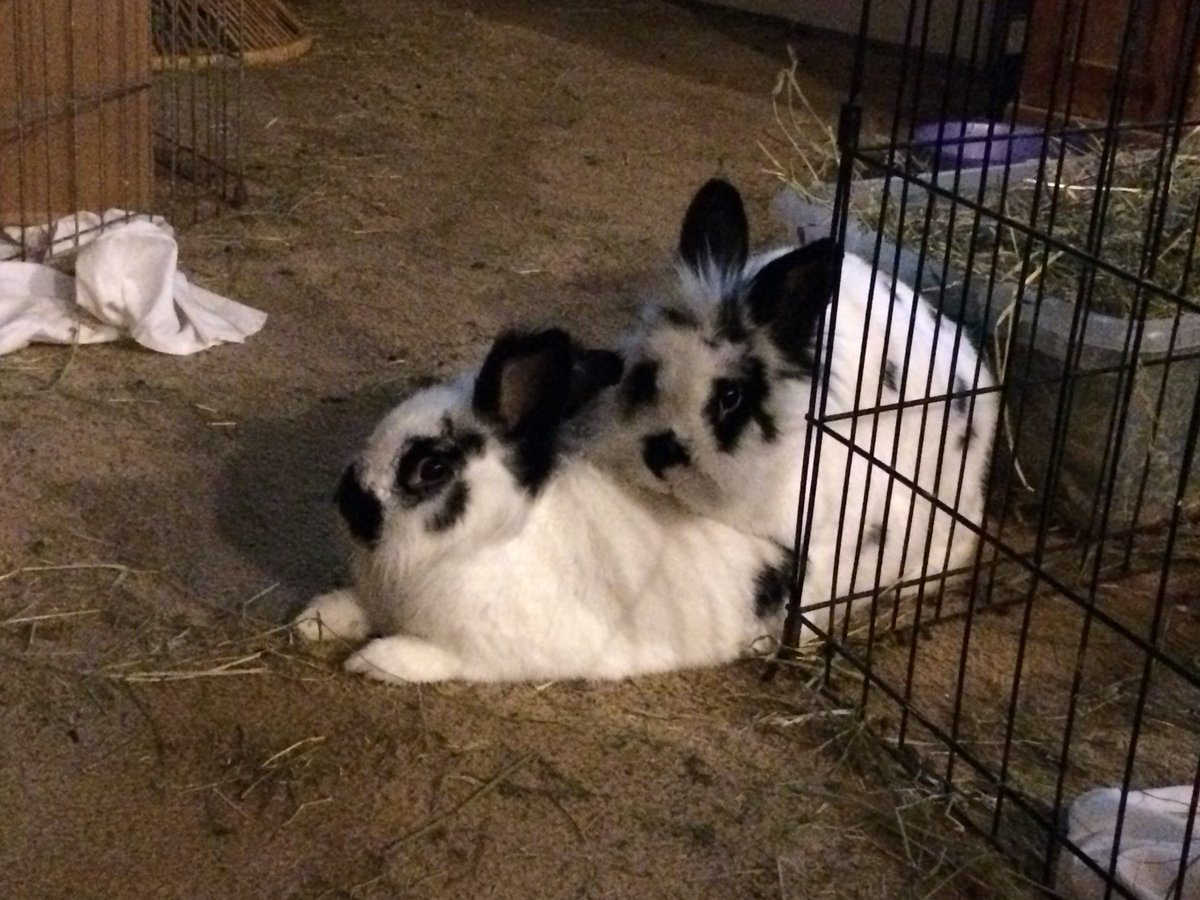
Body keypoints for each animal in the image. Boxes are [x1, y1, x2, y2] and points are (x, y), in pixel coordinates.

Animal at [293, 327, 795, 684]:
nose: (348, 503)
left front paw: (373, 661)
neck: (479, 542)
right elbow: (353, 608)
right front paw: (314, 621)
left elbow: (429, 658)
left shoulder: (479, 652)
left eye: (431, 468)